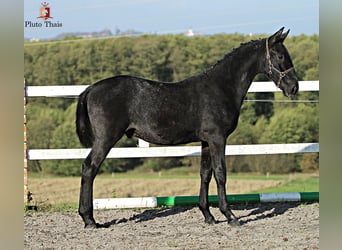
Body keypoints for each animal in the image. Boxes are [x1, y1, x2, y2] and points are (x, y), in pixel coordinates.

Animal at [76, 27, 298, 229]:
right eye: (280, 55)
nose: (294, 87)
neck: (221, 87)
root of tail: (91, 89)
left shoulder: (206, 141)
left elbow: (205, 174)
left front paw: (208, 216)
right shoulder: (218, 139)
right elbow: (220, 173)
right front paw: (230, 216)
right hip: (106, 139)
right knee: (89, 168)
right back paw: (89, 219)